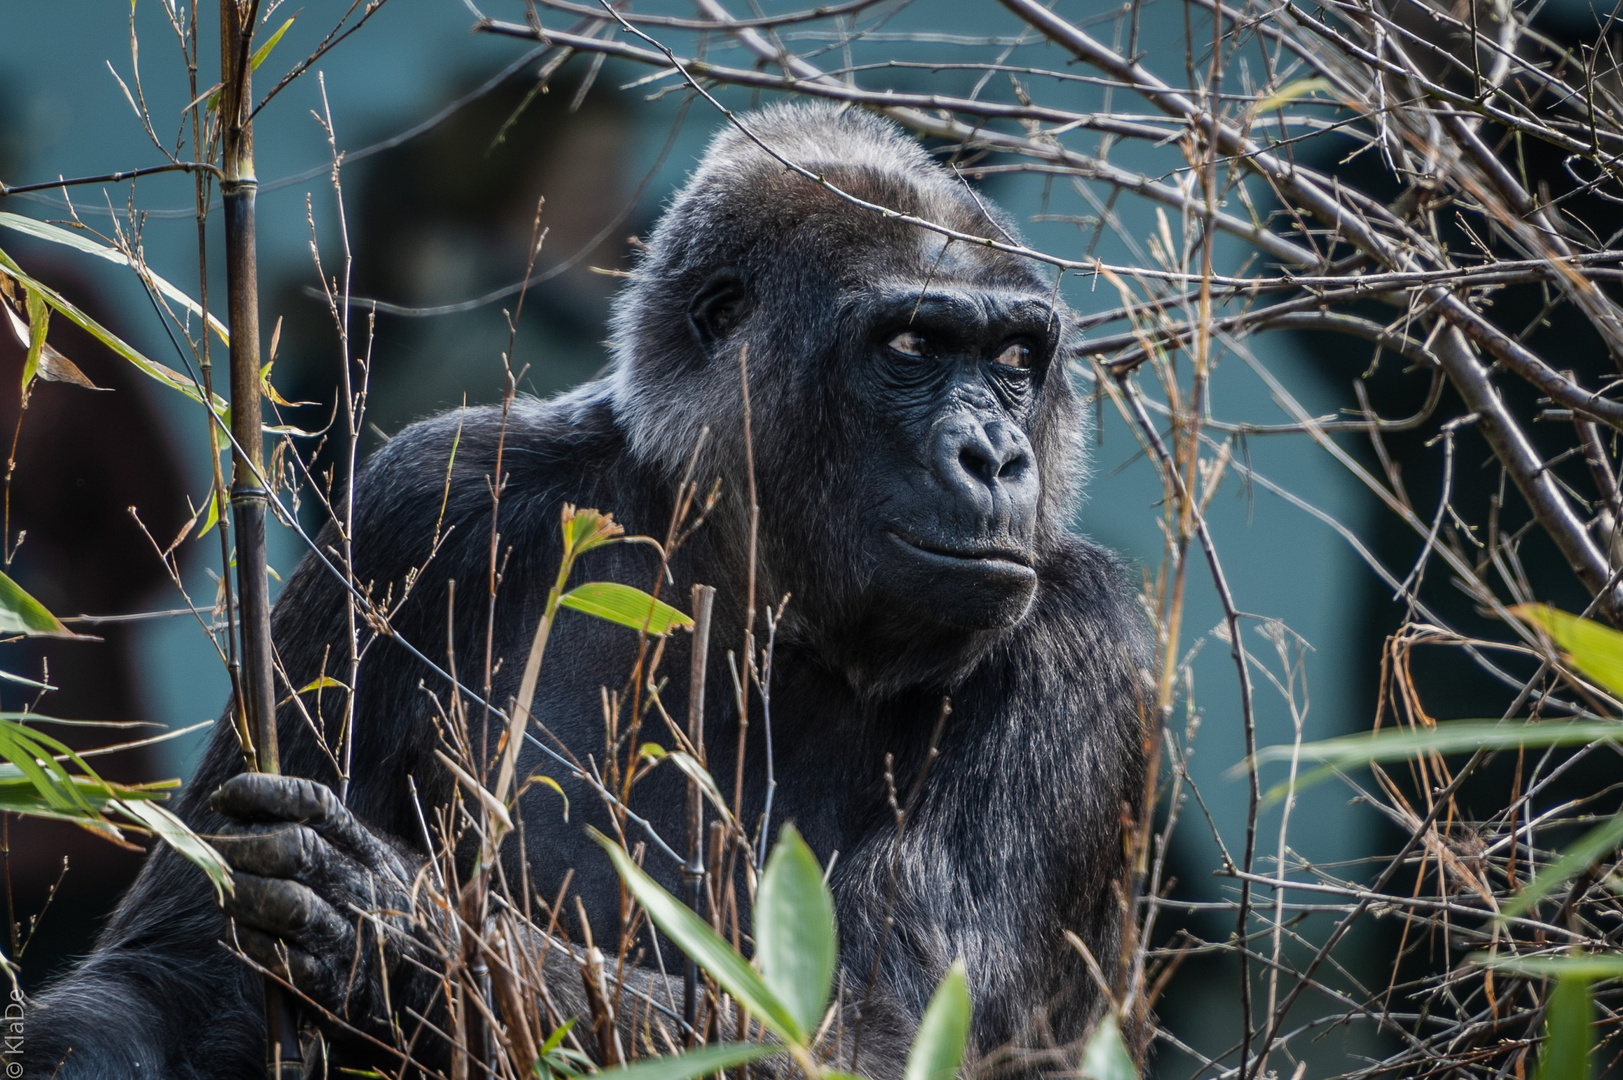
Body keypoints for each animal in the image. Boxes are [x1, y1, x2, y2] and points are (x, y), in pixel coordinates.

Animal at [19, 103, 1149, 1078]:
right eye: (913, 343)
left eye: (1015, 357)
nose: (995, 455)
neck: (729, 563)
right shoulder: (416, 503)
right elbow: (175, 979)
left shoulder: (1083, 650)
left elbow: (880, 1035)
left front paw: (390, 922)